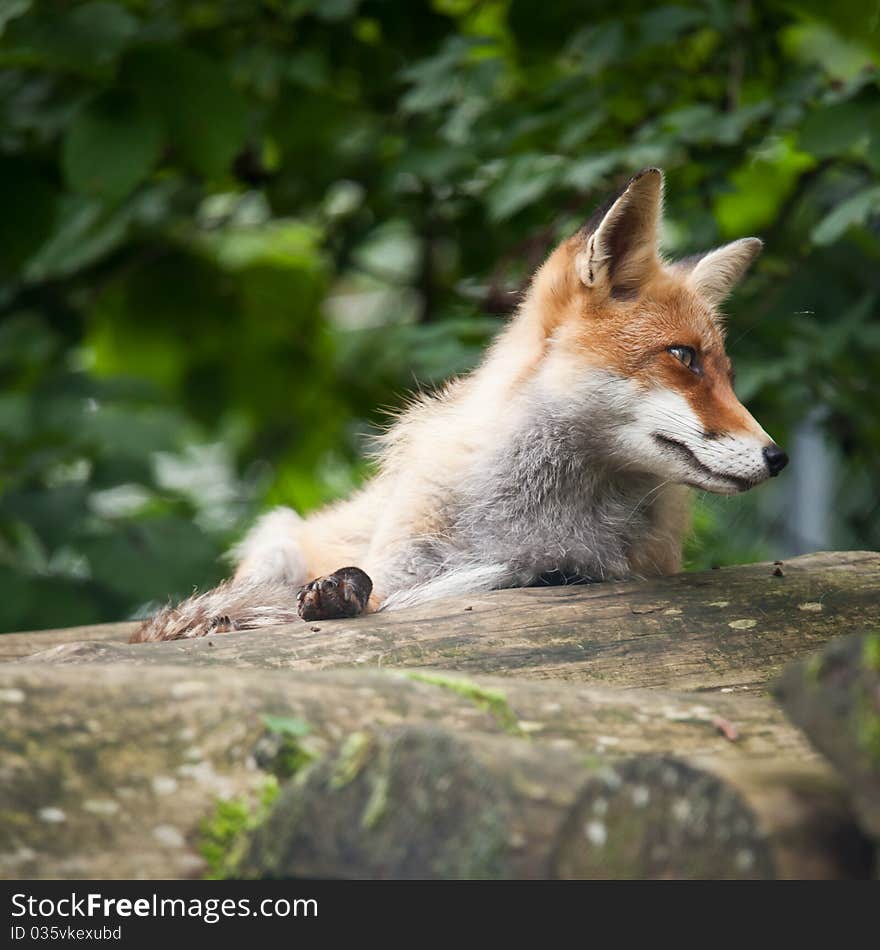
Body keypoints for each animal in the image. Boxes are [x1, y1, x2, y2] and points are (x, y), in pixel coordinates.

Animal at [132, 169, 792, 648]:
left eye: (729, 375)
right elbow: (365, 590)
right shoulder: (403, 568)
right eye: (683, 356)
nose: (778, 457)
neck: (548, 526)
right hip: (275, 541)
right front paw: (333, 598)